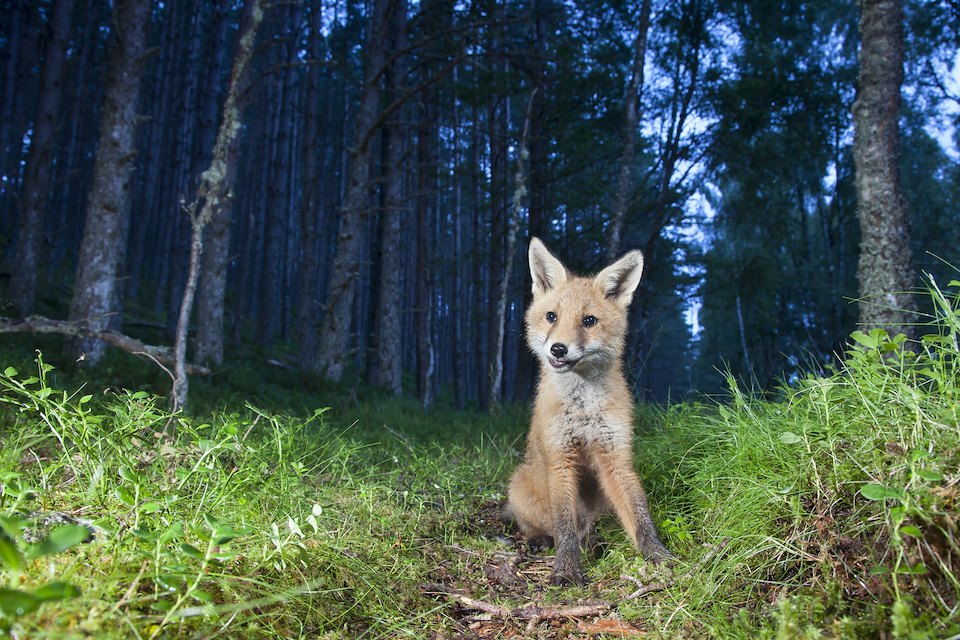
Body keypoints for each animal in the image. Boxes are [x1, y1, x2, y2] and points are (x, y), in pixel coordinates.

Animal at [506, 239, 672, 584]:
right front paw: (567, 569)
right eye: (551, 316)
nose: (558, 348)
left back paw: (594, 541)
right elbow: (565, 528)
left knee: (590, 528)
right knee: (543, 526)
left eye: (589, 321)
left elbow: (640, 515)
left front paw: (657, 554)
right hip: (520, 486)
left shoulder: (616, 457)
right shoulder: (560, 460)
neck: (583, 409)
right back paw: (538, 539)